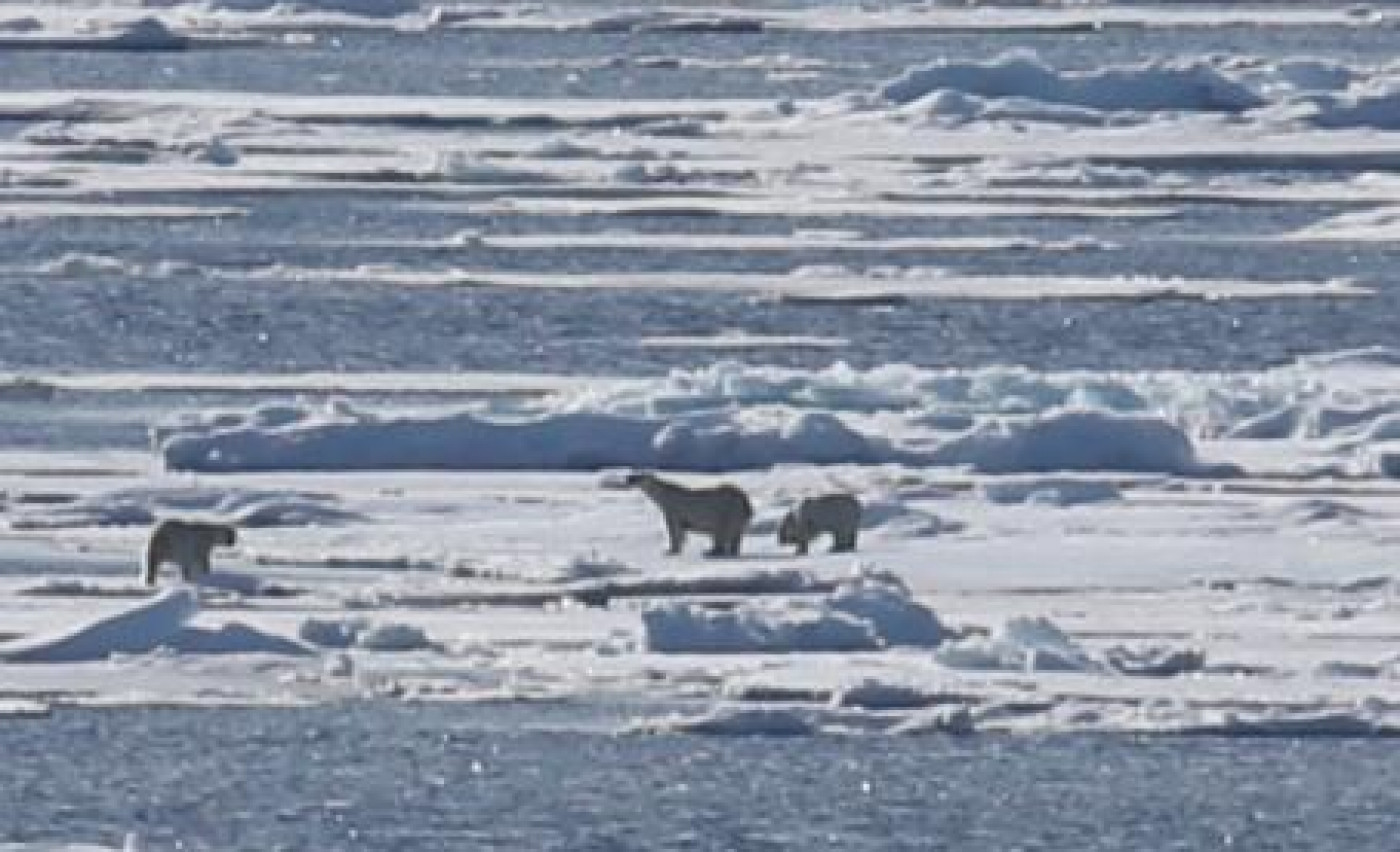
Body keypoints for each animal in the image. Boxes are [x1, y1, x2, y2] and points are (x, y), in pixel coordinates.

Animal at [623, 472, 753, 557]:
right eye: (631, 476)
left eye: (636, 477)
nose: (627, 480)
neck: (665, 494)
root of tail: (745, 501)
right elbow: (681, 530)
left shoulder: (672, 509)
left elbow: (674, 529)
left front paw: (671, 550)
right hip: (737, 516)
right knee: (735, 535)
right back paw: (728, 551)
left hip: (726, 511)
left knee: (721, 531)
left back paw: (712, 551)